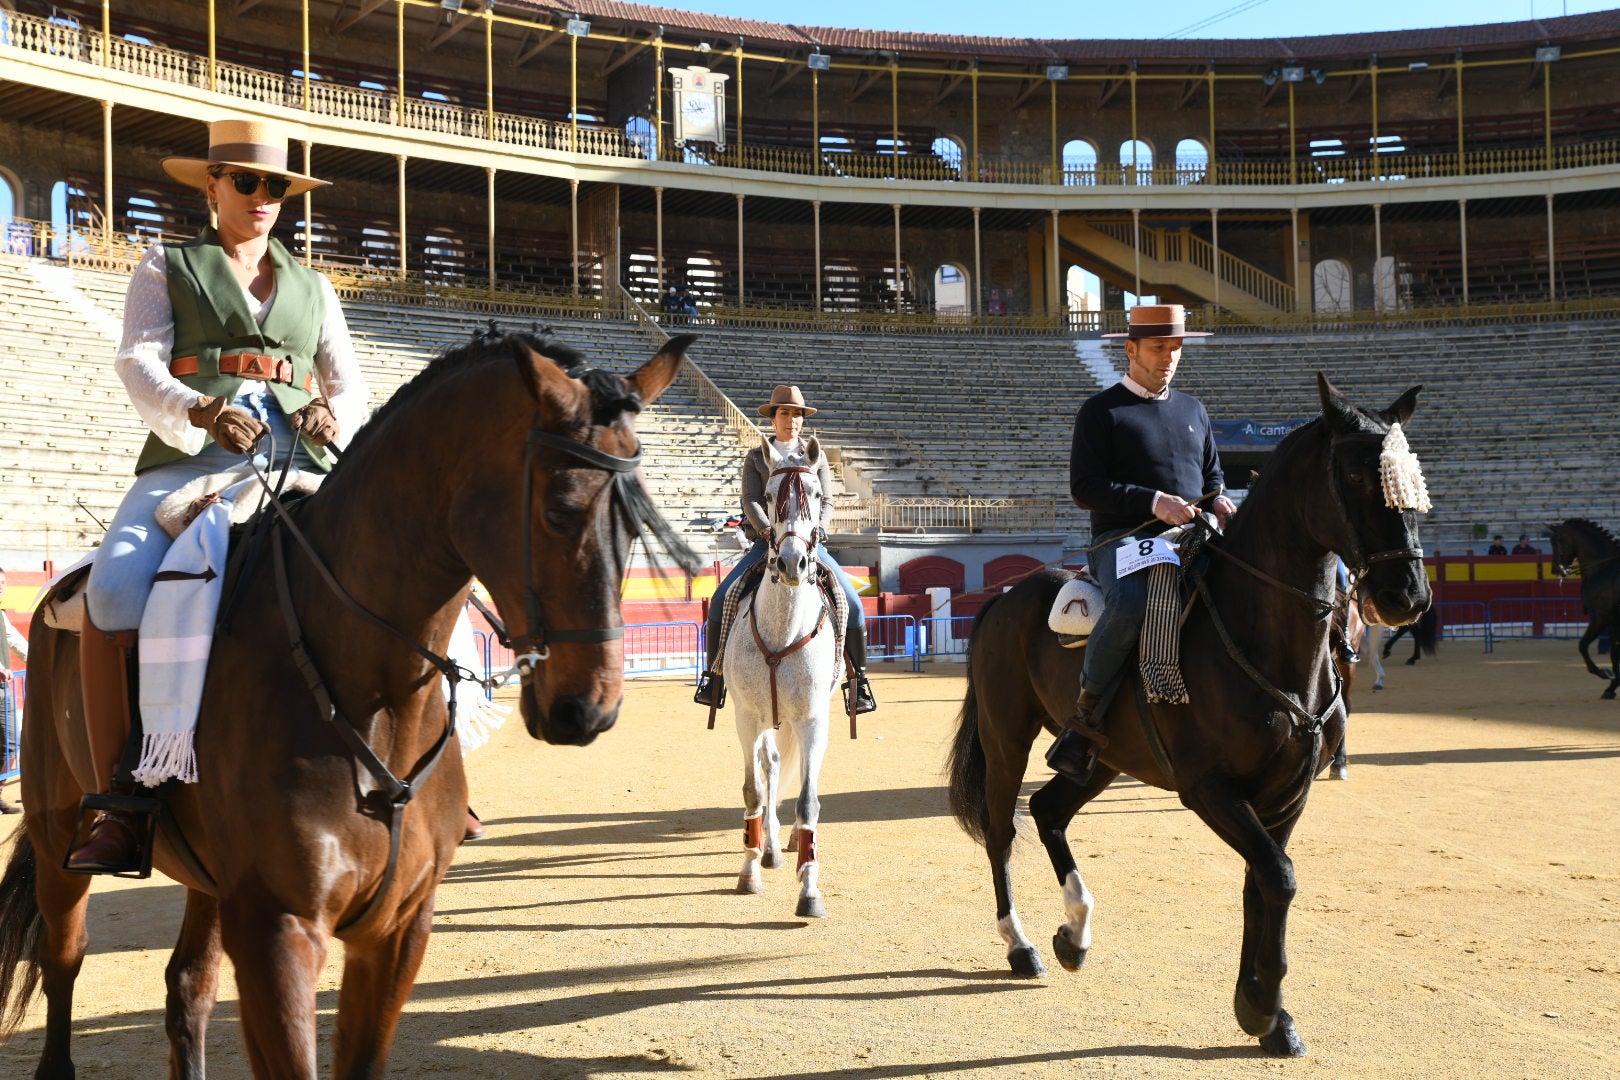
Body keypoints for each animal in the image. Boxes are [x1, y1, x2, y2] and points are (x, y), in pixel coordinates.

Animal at [0, 331, 696, 1080]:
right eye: (559, 511)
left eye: (636, 526)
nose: (586, 711)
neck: (370, 695)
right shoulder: (277, 929)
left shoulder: (396, 928)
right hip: (58, 832)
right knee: (64, 959)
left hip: (208, 881)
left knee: (188, 987)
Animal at [946, 378, 1432, 1055]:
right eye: (1359, 474)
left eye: (1412, 478)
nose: (1407, 595)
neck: (1259, 635)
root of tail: (1006, 597)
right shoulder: (1209, 790)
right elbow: (1279, 877)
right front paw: (1263, 1007)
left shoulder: (1286, 796)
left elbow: (1262, 882)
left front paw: (1265, 1012)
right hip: (1006, 738)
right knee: (1001, 831)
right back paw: (1021, 946)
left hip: (1101, 758)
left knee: (1047, 811)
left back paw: (1075, 934)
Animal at [1542, 521, 1620, 705]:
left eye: (1555, 541)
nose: (1556, 570)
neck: (1603, 568)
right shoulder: (1612, 621)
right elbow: (1614, 654)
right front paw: (1612, 686)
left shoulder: (1601, 617)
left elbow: (1583, 645)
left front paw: (1605, 675)